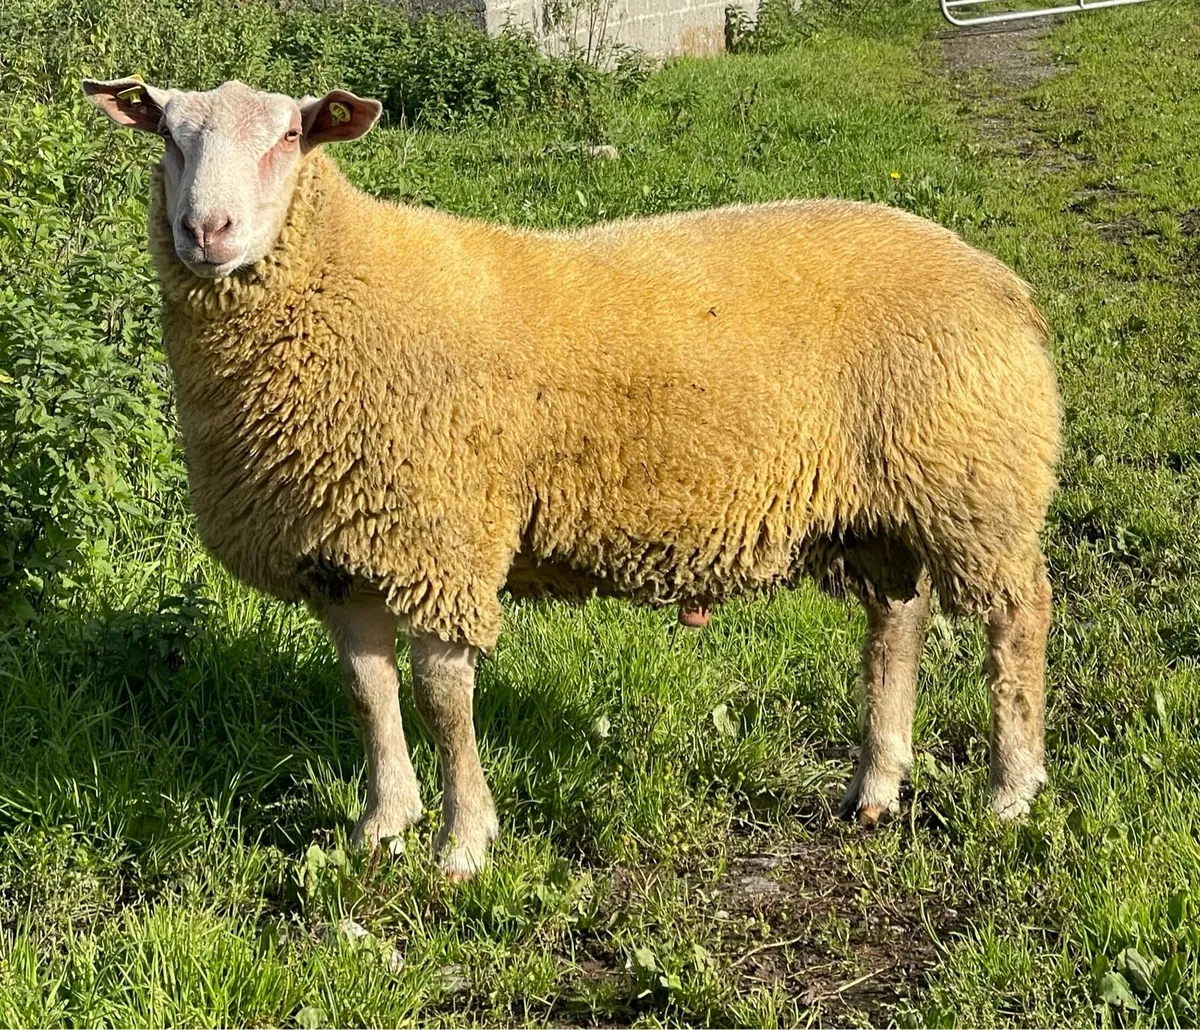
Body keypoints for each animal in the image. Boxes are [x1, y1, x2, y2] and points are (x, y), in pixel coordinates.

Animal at [82, 76, 1061, 881]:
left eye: (289, 137)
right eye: (168, 135)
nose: (206, 232)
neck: (343, 286)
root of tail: (1002, 280)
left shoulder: (444, 539)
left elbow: (442, 697)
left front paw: (463, 844)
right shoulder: (342, 552)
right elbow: (368, 691)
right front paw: (382, 825)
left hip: (976, 483)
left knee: (1017, 618)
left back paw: (1011, 792)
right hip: (888, 502)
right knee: (898, 621)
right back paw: (876, 785)